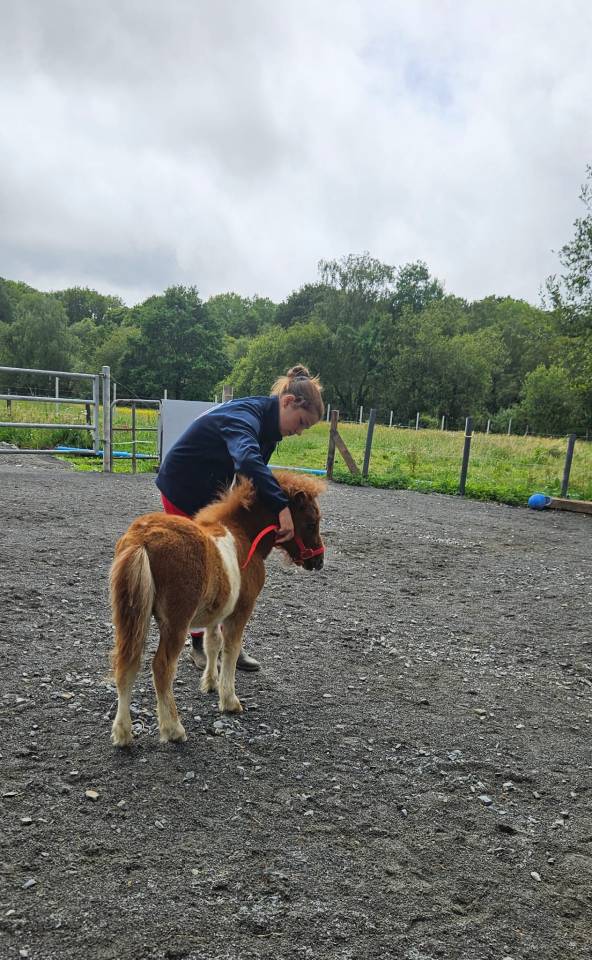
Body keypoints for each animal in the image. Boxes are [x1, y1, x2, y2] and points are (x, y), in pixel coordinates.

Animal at [109, 471, 326, 747]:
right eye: (310, 522)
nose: (318, 561)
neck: (245, 535)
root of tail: (142, 538)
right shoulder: (240, 612)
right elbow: (231, 650)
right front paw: (229, 700)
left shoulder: (216, 613)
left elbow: (213, 643)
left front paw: (210, 683)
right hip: (174, 623)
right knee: (161, 667)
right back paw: (173, 729)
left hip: (130, 616)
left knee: (126, 664)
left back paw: (123, 733)